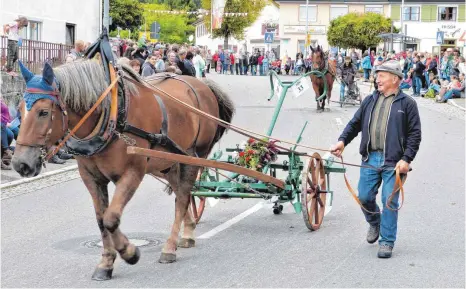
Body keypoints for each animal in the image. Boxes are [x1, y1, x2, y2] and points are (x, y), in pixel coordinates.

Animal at [10, 60, 237, 280]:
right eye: (19, 109)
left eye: (43, 112)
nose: (21, 163)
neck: (113, 116)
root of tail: (201, 84)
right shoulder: (91, 178)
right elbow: (101, 220)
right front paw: (106, 263)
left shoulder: (132, 173)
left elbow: (111, 218)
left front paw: (129, 252)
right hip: (168, 162)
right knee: (181, 193)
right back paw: (188, 232)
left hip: (194, 156)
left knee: (182, 197)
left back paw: (170, 247)